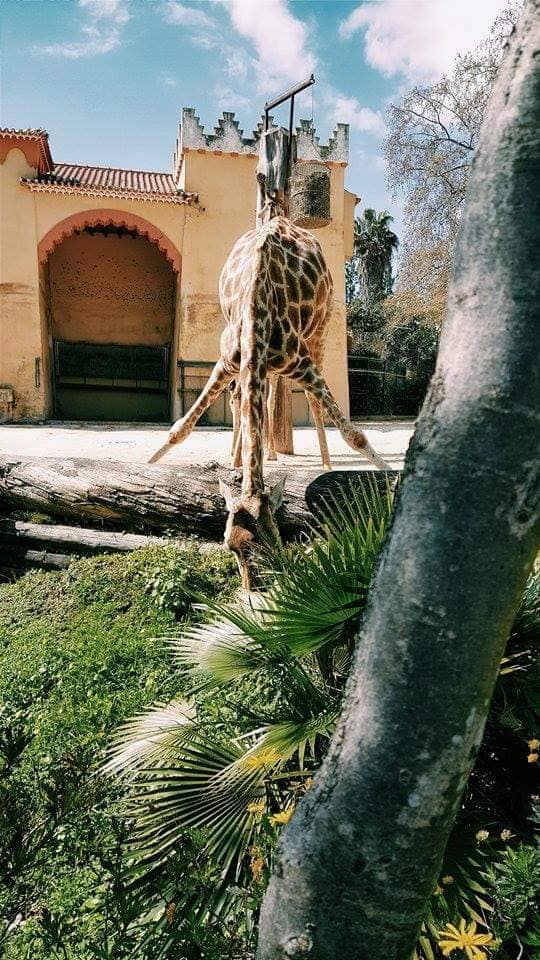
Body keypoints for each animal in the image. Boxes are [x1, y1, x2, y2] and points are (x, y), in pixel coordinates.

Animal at [150, 215, 388, 588]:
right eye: (228, 544)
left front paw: (390, 479)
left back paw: (326, 466)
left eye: (275, 538)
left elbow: (355, 435)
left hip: (319, 329)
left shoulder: (299, 361)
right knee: (264, 395)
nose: (254, 589)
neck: (256, 311)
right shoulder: (227, 362)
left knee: (312, 399)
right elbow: (180, 429)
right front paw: (146, 466)